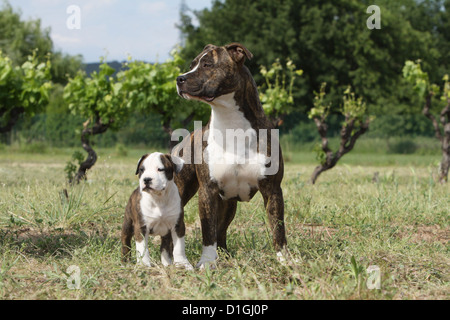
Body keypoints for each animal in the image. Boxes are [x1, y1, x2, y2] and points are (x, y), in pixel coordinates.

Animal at [174, 42, 286, 268]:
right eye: (191, 65)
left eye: (207, 64)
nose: (179, 78)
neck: (230, 122)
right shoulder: (207, 191)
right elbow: (208, 231)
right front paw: (206, 262)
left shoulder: (272, 190)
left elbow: (278, 228)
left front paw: (286, 259)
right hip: (181, 190)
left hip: (228, 204)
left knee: (222, 230)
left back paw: (224, 254)